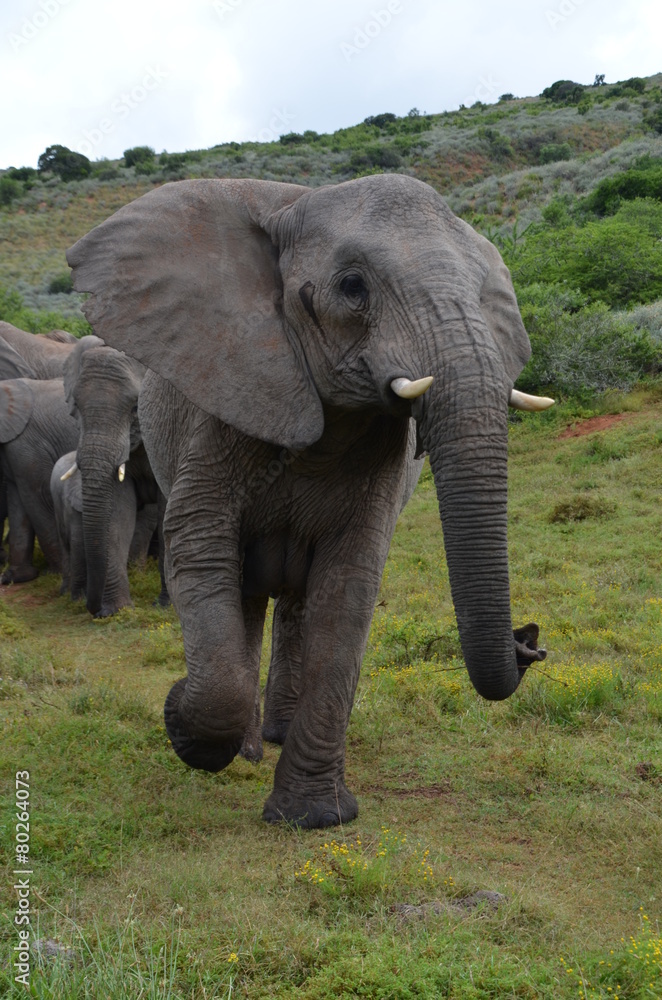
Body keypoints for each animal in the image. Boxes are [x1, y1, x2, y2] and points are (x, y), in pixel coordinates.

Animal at [62, 336, 167, 616]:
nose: (91, 607)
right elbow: (117, 512)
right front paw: (116, 610)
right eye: (76, 406)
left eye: (136, 407)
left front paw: (166, 606)